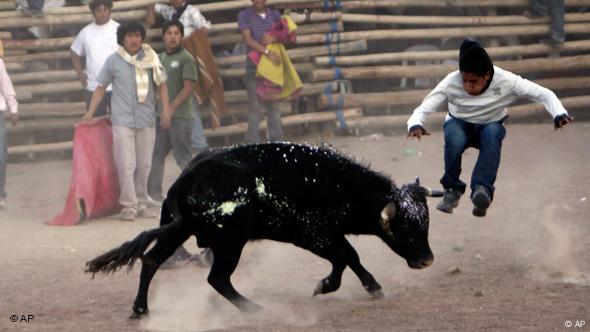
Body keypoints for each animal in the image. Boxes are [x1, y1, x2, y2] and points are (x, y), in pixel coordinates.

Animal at [85, 142, 442, 316]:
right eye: (406, 228)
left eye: (425, 223)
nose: (427, 260)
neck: (333, 183)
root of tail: (182, 182)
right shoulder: (311, 236)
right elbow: (344, 258)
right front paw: (325, 285)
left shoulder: (327, 234)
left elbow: (351, 257)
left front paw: (371, 286)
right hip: (230, 242)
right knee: (217, 279)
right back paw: (252, 308)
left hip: (179, 233)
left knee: (151, 261)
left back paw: (140, 309)